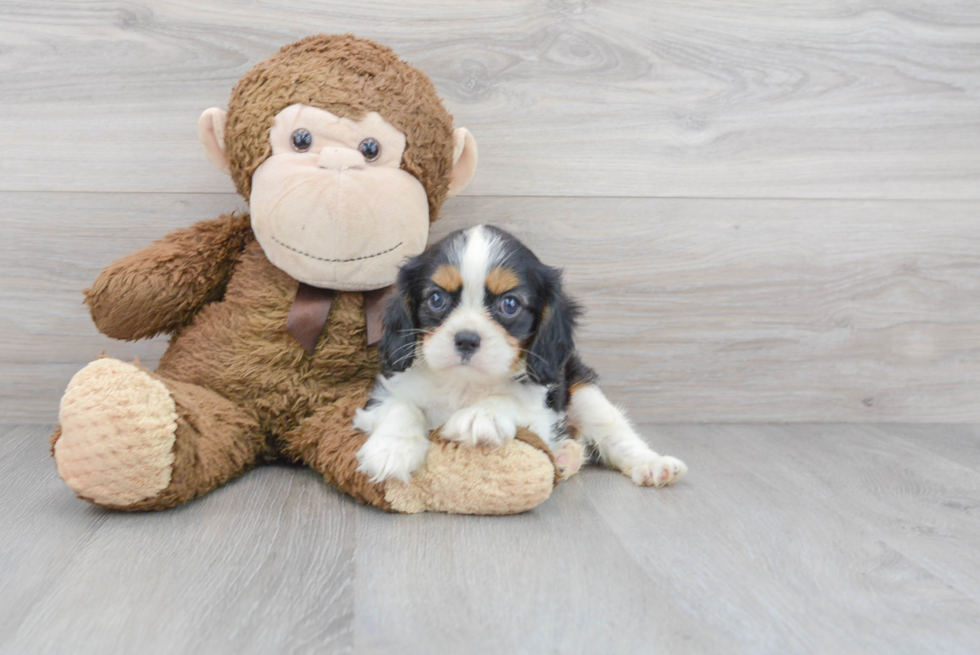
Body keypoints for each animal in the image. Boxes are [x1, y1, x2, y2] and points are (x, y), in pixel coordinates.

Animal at [354, 226, 688, 486]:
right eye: (436, 299)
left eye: (510, 304)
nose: (467, 339)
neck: (465, 384)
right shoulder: (386, 391)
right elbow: (401, 406)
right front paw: (392, 449)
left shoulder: (542, 408)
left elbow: (511, 399)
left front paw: (480, 415)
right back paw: (566, 456)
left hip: (582, 391)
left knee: (615, 432)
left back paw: (652, 465)